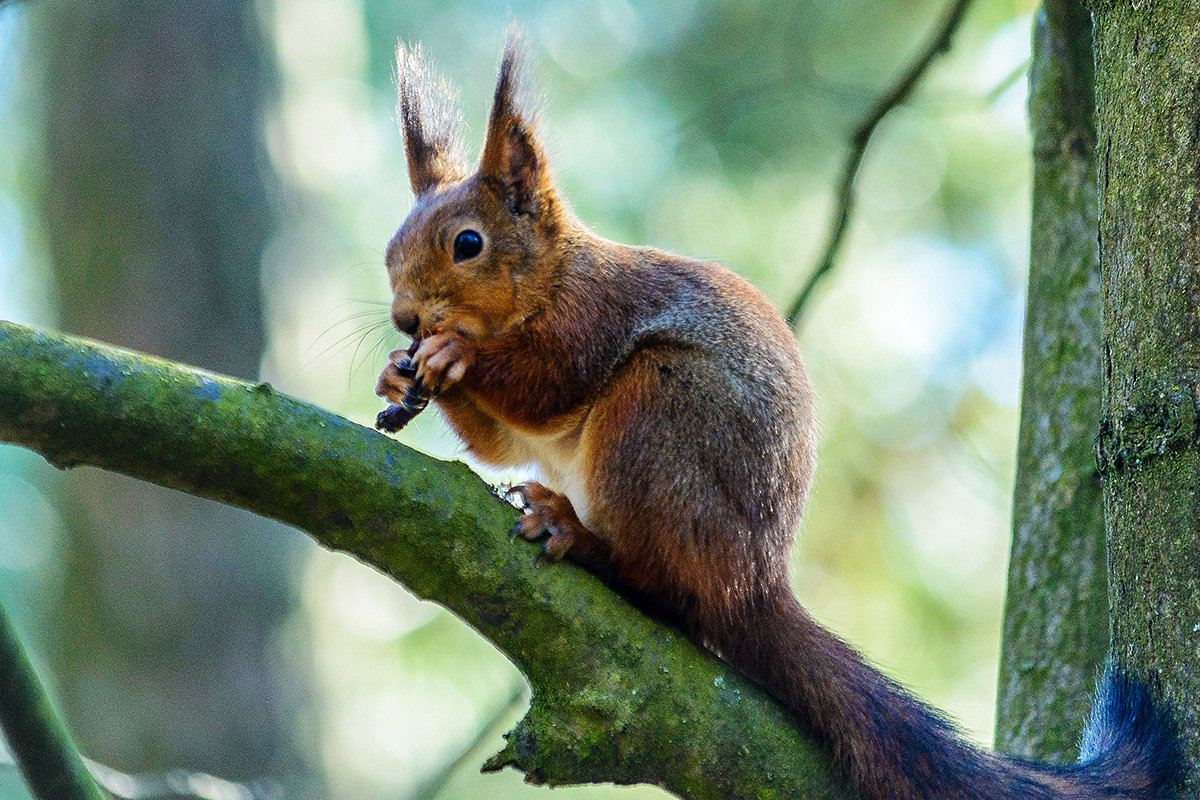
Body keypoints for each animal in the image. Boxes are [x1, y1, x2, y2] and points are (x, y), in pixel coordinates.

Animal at [376, 34, 1180, 800]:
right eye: (390, 250)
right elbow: (504, 441)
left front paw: (454, 354)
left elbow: (548, 385)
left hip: (661, 417)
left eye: (468, 244)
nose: (405, 317)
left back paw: (578, 534)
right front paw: (401, 373)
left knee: (670, 590)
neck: (551, 275)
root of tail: (756, 581)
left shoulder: (594, 317)